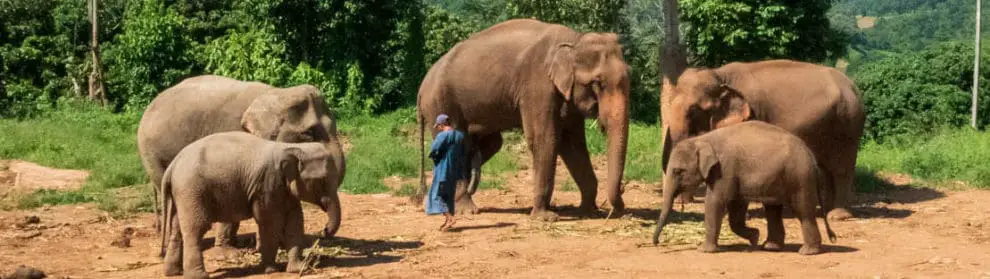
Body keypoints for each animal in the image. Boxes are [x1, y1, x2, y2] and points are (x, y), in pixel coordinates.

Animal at [158, 132, 338, 278]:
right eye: (322, 181)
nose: (324, 231)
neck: (290, 147)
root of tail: (172, 166)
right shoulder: (266, 185)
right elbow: (269, 223)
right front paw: (271, 269)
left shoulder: (284, 189)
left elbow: (295, 221)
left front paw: (299, 268)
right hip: (192, 191)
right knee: (196, 229)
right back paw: (199, 276)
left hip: (181, 195)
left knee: (177, 229)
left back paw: (173, 273)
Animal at [414, 18, 632, 222]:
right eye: (598, 83)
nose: (616, 210)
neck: (574, 40)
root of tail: (422, 87)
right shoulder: (537, 85)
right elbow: (545, 140)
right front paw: (546, 217)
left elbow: (573, 145)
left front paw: (588, 212)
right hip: (440, 104)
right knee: (456, 145)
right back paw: (465, 209)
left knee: (490, 143)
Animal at [656, 122, 840, 256]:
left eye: (678, 171)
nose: (657, 243)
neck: (703, 138)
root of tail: (811, 155)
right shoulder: (733, 175)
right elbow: (736, 206)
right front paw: (754, 239)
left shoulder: (725, 169)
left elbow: (715, 202)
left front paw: (704, 250)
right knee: (773, 210)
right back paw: (769, 247)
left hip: (800, 178)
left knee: (803, 210)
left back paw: (807, 252)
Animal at [668, 60, 868, 222]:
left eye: (694, 110)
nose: (681, 204)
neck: (719, 74)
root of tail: (853, 86)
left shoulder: (751, 116)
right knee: (828, 169)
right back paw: (826, 211)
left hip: (848, 124)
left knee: (841, 168)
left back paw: (838, 215)